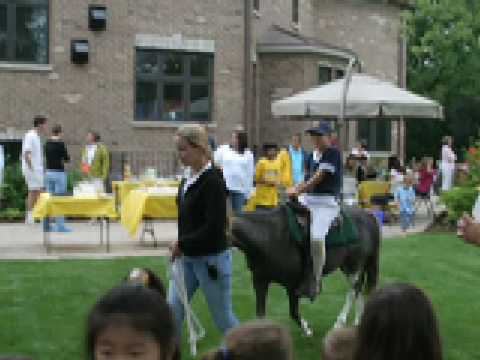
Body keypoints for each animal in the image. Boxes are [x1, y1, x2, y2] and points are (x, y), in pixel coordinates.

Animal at [231, 204, 380, 336]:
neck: (268, 235)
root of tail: (368, 215)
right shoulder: (260, 280)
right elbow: (260, 314)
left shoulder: (292, 285)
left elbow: (293, 312)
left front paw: (307, 330)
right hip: (349, 266)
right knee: (359, 289)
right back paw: (358, 322)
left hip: (354, 265)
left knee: (353, 290)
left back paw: (339, 323)